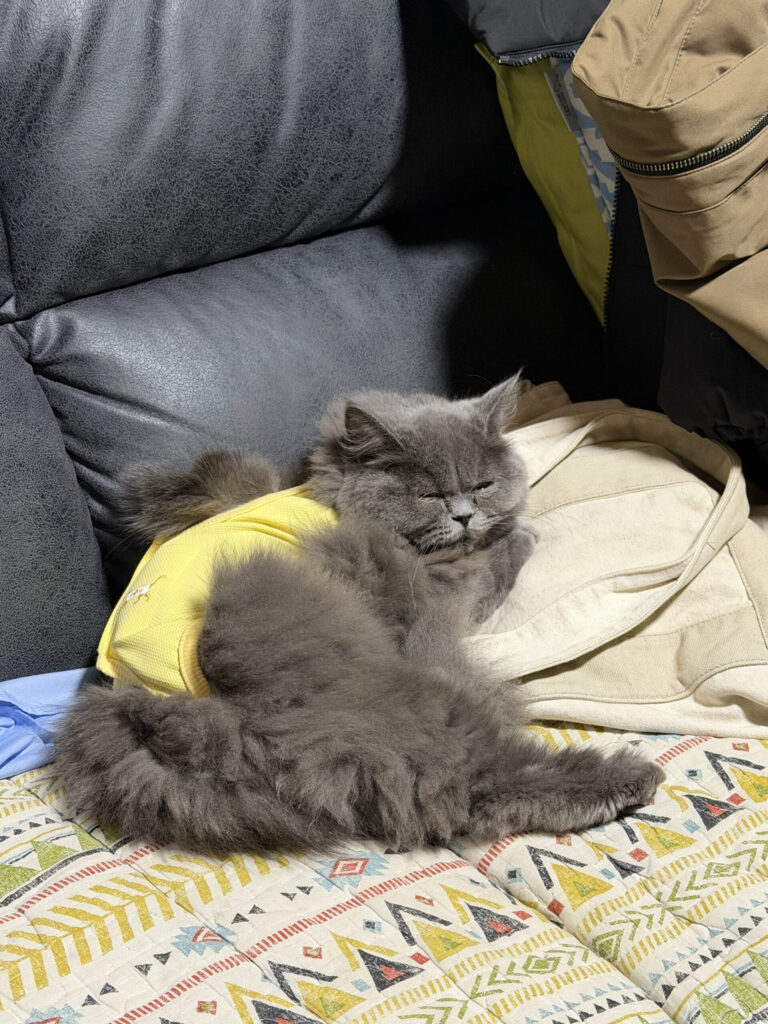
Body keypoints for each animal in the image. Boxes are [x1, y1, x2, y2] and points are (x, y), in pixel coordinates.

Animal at [56, 376, 663, 854]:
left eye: (481, 484)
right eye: (430, 494)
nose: (465, 515)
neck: (331, 491)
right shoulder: (442, 595)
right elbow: (499, 558)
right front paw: (519, 531)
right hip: (393, 699)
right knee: (472, 784)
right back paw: (631, 778)